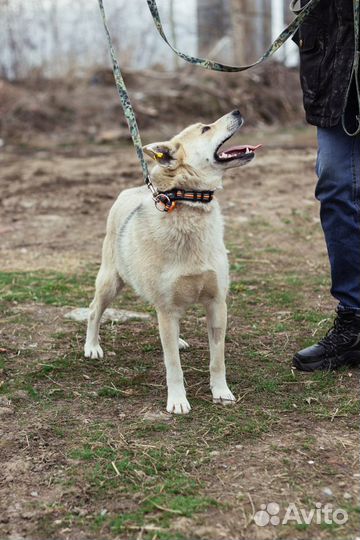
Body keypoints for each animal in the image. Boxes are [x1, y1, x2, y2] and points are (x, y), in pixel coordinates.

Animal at [84, 109, 258, 414]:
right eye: (205, 128)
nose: (237, 111)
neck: (190, 203)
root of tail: (133, 190)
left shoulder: (217, 303)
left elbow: (217, 359)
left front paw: (221, 392)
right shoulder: (166, 308)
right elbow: (173, 365)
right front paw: (177, 400)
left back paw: (177, 339)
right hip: (110, 282)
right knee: (95, 310)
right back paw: (92, 346)